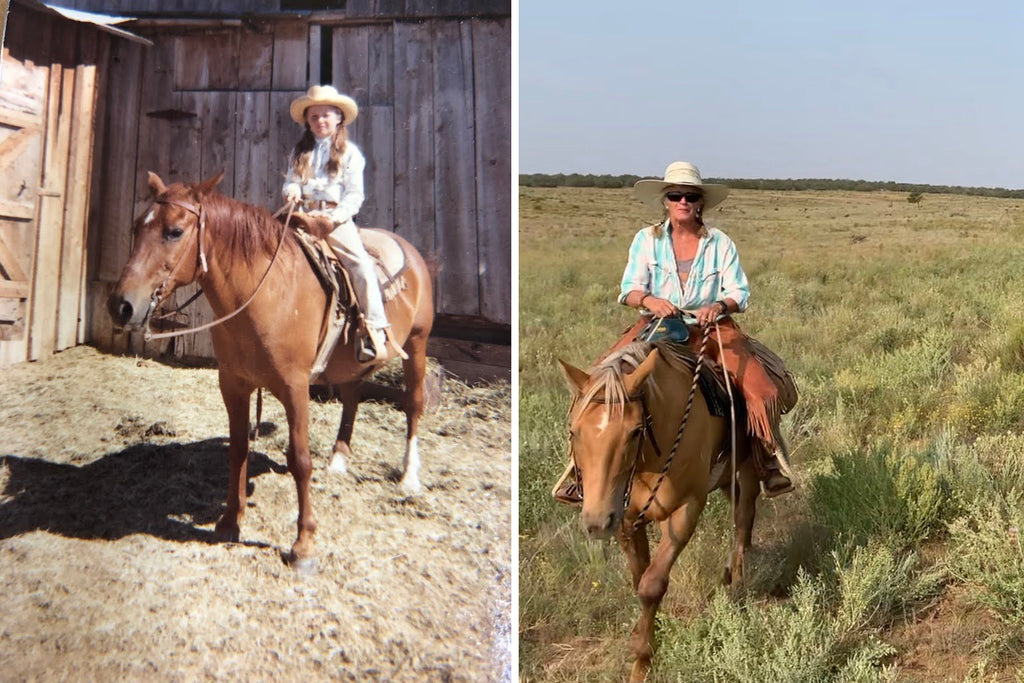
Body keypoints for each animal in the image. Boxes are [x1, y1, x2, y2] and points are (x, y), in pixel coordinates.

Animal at [105, 174, 434, 569]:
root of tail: (412, 251)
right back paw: (339, 458)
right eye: (137, 227)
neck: (265, 292)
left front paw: (304, 544)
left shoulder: (295, 387)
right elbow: (238, 449)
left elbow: (300, 459)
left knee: (413, 404)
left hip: (417, 345)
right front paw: (229, 522)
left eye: (175, 231)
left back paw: (409, 476)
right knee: (352, 396)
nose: (121, 306)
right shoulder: (232, 384)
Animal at [561, 342, 761, 683]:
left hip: (745, 462)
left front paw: (643, 658)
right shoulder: (626, 519)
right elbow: (639, 578)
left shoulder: (686, 509)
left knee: (744, 512)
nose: (597, 523)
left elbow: (651, 585)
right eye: (574, 432)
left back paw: (737, 576)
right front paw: (648, 634)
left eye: (634, 431)